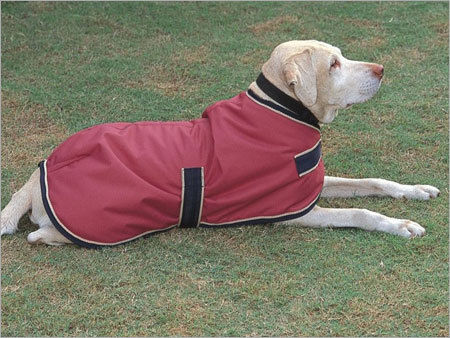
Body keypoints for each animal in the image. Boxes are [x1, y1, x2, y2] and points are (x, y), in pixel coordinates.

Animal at [0, 41, 440, 247]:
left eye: (342, 56)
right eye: (332, 65)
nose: (381, 69)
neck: (281, 109)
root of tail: (39, 172)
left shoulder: (312, 186)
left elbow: (372, 182)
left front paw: (415, 190)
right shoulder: (292, 212)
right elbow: (360, 212)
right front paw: (401, 225)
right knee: (40, 235)